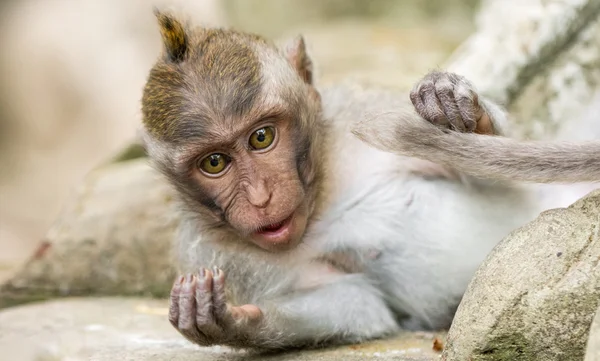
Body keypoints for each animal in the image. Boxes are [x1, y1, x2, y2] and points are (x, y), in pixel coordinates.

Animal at [142, 10, 548, 348]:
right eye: (214, 162)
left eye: (261, 137)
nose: (260, 197)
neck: (321, 194)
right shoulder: (212, 253)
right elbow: (357, 303)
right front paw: (233, 323)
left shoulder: (364, 109)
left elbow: (507, 179)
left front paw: (449, 101)